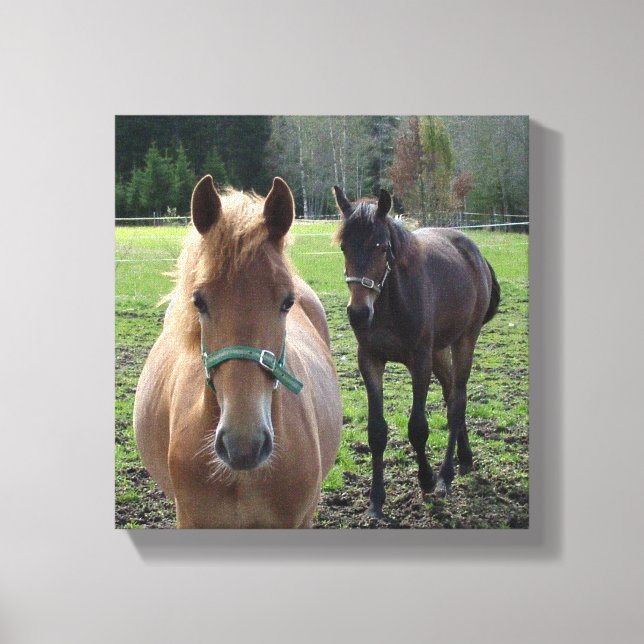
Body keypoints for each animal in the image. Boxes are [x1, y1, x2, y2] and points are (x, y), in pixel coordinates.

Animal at [333, 186, 500, 519]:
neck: (389, 305)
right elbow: (376, 431)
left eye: (382, 247)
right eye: (344, 247)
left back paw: (446, 476)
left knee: (457, 402)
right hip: (439, 352)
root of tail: (475, 253)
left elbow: (418, 427)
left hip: (464, 341)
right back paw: (465, 459)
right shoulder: (370, 361)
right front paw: (375, 500)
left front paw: (426, 479)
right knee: (451, 395)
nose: (358, 313)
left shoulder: (419, 361)